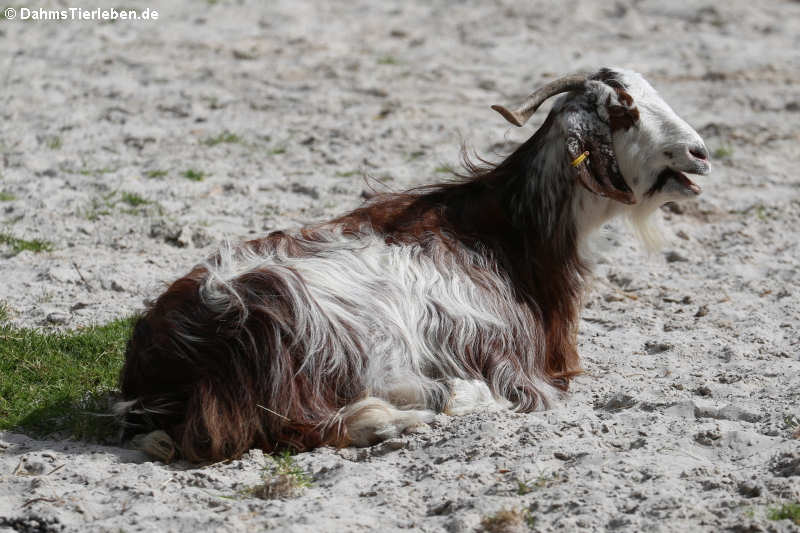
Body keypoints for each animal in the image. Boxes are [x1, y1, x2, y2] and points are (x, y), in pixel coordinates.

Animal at [117, 67, 708, 462]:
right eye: (623, 110)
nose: (700, 152)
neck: (508, 234)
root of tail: (163, 361)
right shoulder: (513, 362)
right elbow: (525, 395)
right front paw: (458, 397)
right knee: (296, 427)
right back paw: (401, 416)